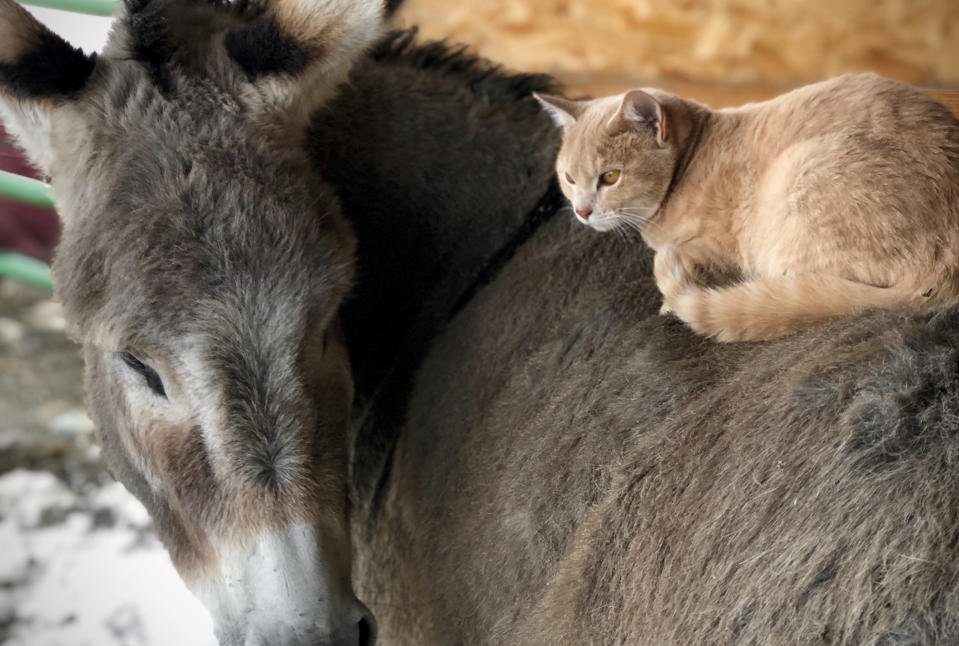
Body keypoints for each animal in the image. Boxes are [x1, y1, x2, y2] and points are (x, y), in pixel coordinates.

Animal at [536, 73, 959, 342]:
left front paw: (669, 304)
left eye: (610, 177)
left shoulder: (710, 250)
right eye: (569, 178)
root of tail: (940, 274)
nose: (582, 211)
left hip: (798, 182)